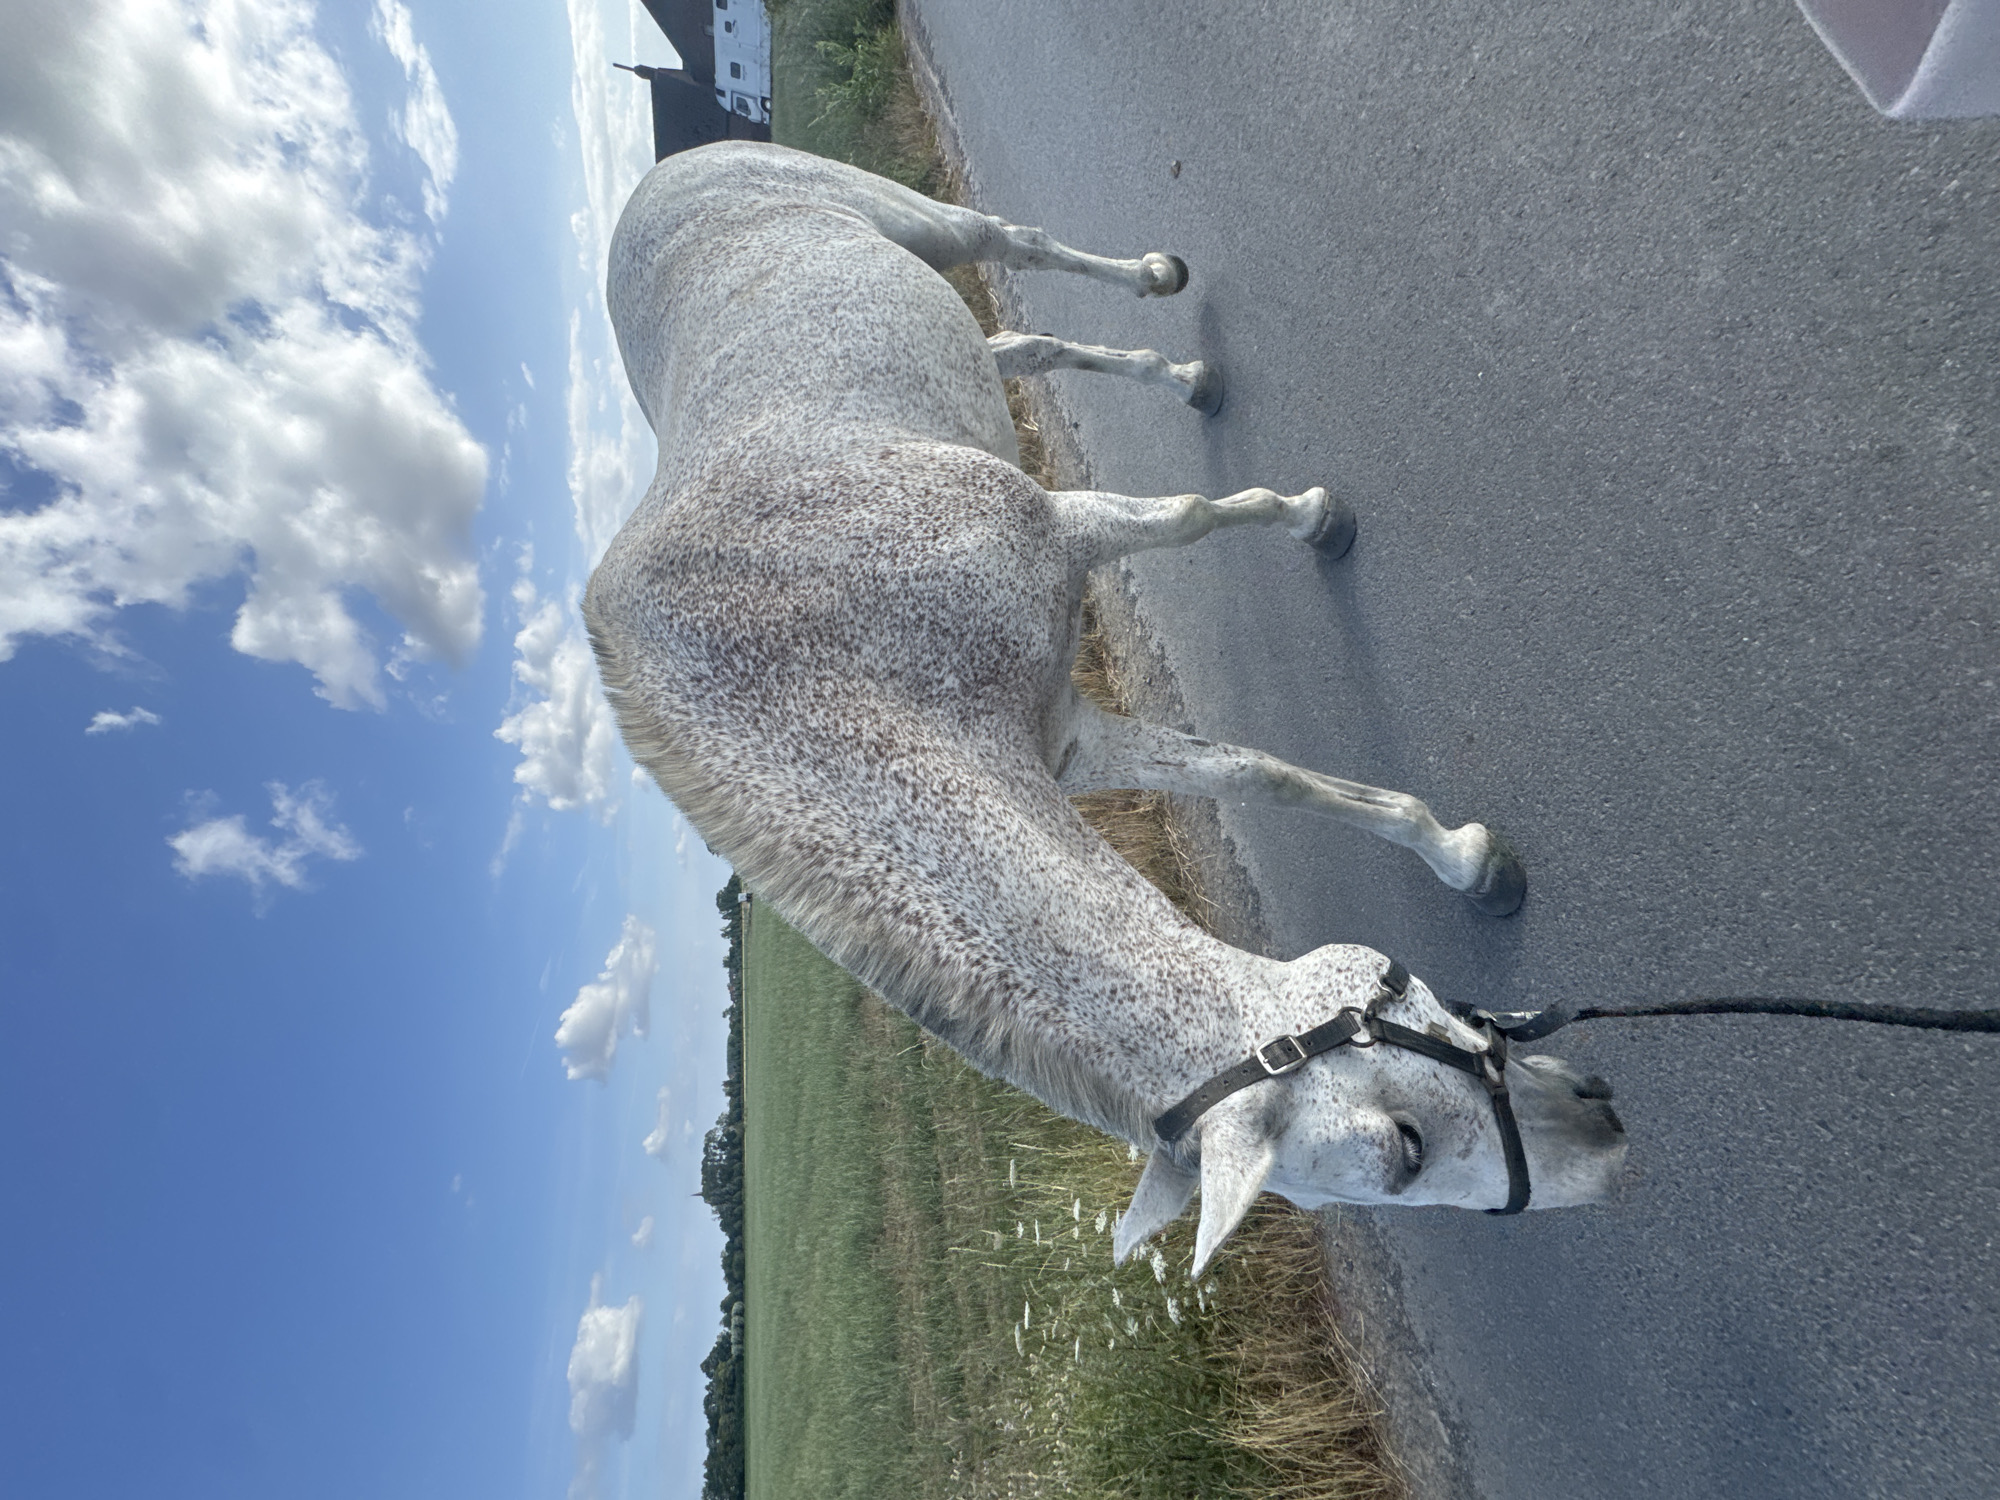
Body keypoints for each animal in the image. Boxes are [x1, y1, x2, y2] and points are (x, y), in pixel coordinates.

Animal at [584, 141, 1626, 1275]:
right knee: (1018, 346)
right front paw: (1467, 860)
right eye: (1403, 1152)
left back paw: (1170, 312)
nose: (1601, 1136)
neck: (820, 659)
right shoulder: (1070, 746)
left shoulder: (1061, 530)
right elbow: (1251, 770)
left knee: (1017, 247)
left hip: (923, 229)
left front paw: (1318, 522)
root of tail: (667, 172)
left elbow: (1192, 519)